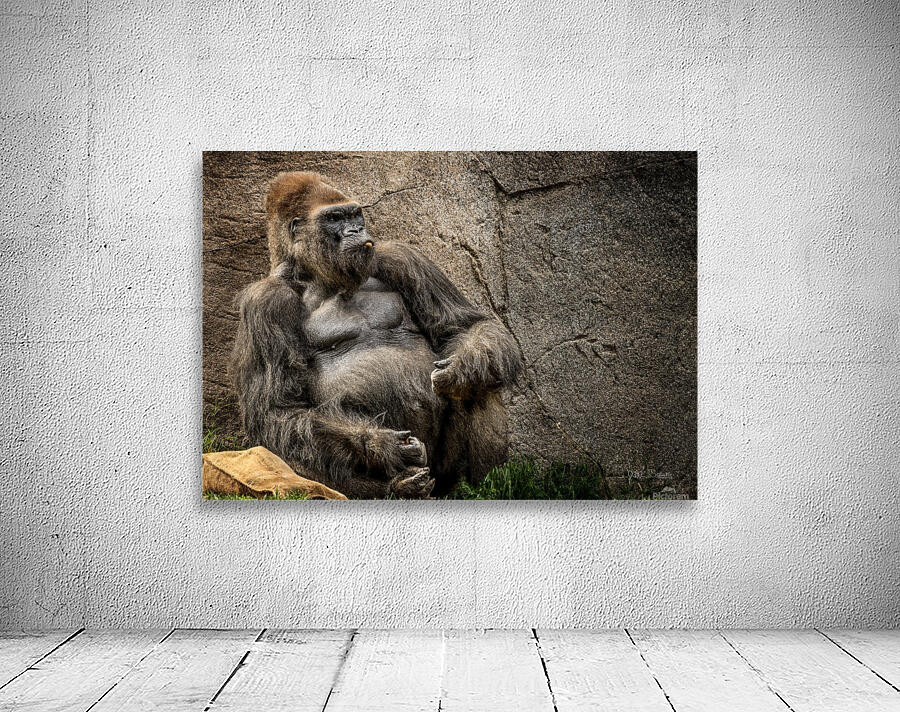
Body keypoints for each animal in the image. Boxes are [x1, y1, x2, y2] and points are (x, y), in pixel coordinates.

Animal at [229, 172, 522, 499]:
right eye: (334, 218)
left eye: (354, 214)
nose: (357, 230)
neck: (314, 274)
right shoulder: (264, 302)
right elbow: (279, 409)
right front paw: (380, 444)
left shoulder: (401, 257)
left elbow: (463, 327)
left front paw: (463, 368)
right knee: (291, 448)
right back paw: (398, 487)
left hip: (443, 476)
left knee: (482, 380)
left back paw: (482, 487)